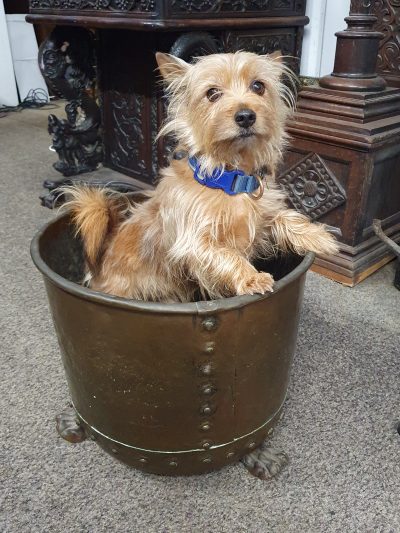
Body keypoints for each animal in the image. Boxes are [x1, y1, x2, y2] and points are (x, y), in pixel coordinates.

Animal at [64, 51, 340, 302]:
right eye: (212, 93)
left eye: (258, 86)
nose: (246, 116)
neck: (230, 180)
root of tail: (97, 271)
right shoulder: (194, 242)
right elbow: (227, 255)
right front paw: (252, 277)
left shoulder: (262, 217)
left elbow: (283, 216)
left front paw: (319, 237)